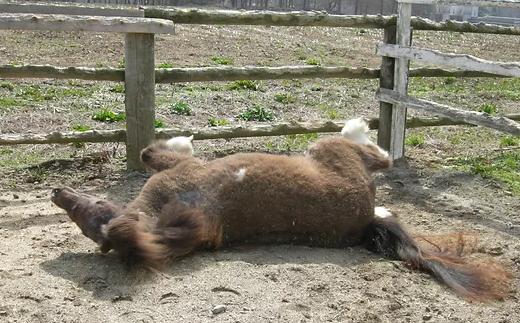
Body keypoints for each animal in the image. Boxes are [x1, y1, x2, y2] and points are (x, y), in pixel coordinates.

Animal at [51, 120, 508, 302]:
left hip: (334, 152)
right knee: (380, 157)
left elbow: (151, 152)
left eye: (92, 208)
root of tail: (364, 219)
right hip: (338, 156)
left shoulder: (173, 171)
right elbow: (151, 152)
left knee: (378, 155)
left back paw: (357, 129)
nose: (58, 193)